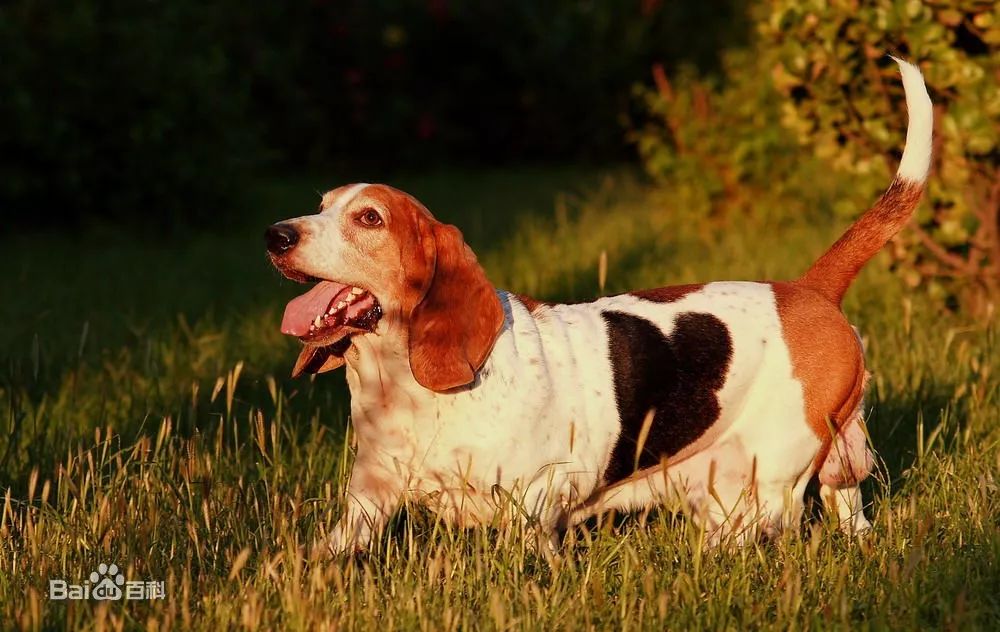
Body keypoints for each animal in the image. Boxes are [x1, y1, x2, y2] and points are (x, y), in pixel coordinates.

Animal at [264, 59, 928, 552]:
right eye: (321, 204)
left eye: (368, 218)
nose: (275, 235)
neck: (402, 382)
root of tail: (806, 289)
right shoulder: (367, 499)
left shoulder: (532, 507)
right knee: (848, 502)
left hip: (766, 481)